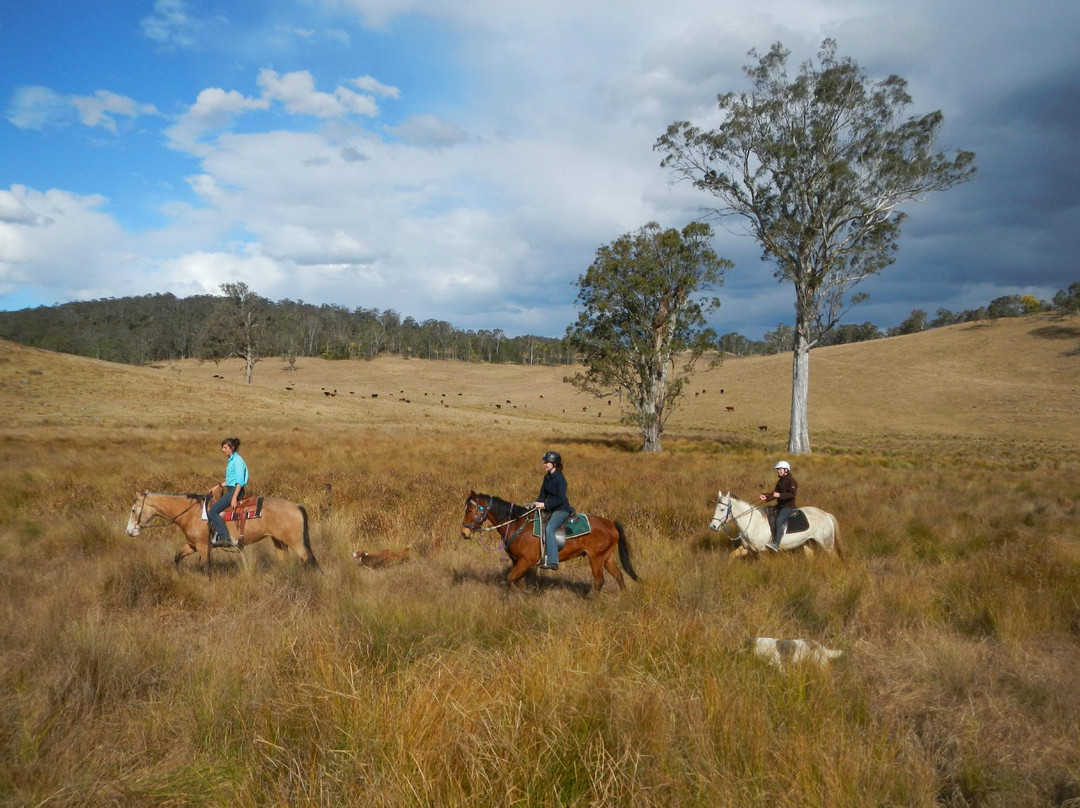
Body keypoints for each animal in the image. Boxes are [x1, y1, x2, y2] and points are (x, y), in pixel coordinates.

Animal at [126, 486, 317, 574]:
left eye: (133, 510)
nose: (129, 531)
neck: (192, 513)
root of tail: (297, 506)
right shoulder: (193, 545)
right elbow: (177, 557)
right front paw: (178, 575)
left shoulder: (203, 546)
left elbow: (206, 566)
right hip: (279, 541)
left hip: (295, 542)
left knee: (310, 560)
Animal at [460, 488, 635, 591]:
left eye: (469, 510)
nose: (464, 532)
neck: (517, 524)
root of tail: (610, 523)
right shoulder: (518, 561)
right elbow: (519, 582)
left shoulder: (526, 561)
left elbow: (510, 579)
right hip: (606, 558)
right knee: (619, 576)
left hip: (596, 558)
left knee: (599, 581)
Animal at [708, 492, 842, 561]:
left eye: (722, 509)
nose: (713, 526)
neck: (753, 523)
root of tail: (826, 515)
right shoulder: (747, 548)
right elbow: (732, 555)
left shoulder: (762, 551)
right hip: (808, 543)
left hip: (827, 544)